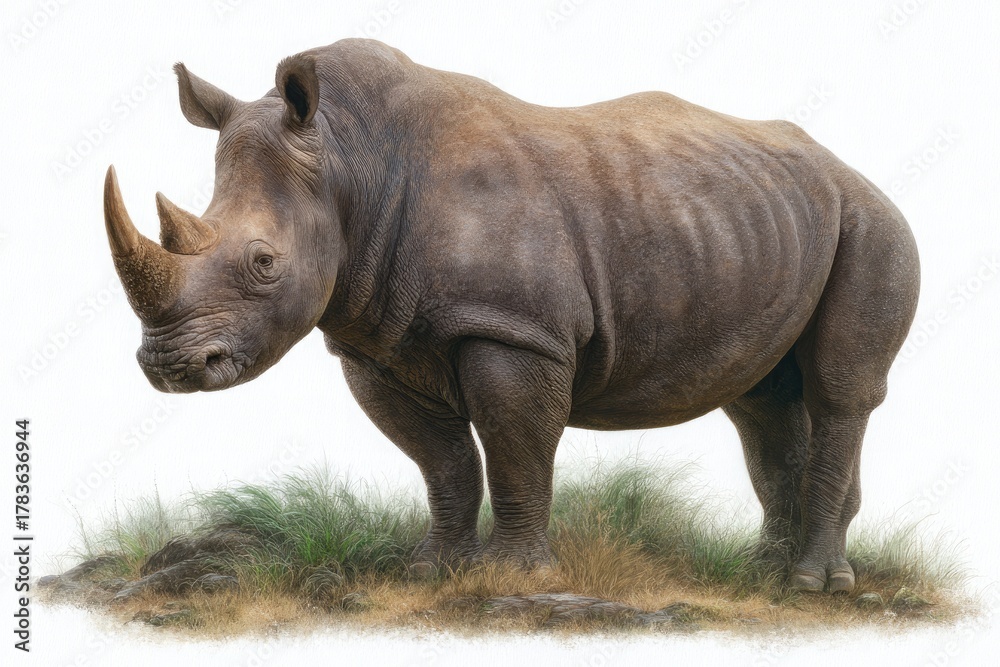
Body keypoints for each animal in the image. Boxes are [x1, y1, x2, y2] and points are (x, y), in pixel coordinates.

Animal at [102, 39, 919, 593]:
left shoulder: (515, 328)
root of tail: (849, 168)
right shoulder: (376, 341)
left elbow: (515, 443)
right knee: (762, 400)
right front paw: (434, 569)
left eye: (265, 263)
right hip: (767, 222)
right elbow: (442, 459)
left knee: (840, 390)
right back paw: (763, 574)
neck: (348, 161)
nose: (170, 366)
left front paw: (514, 578)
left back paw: (813, 585)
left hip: (871, 222)